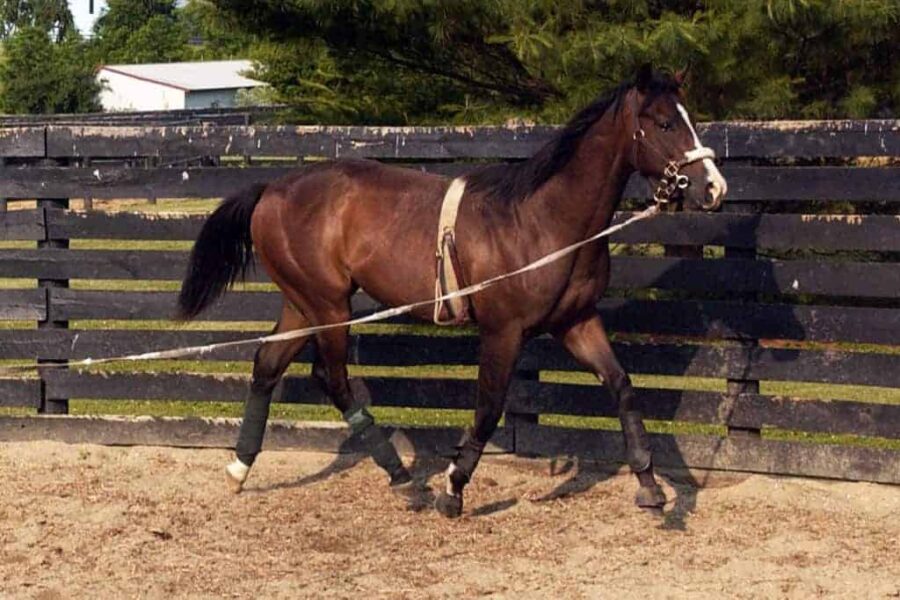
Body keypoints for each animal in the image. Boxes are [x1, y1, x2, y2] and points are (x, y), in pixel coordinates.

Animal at [176, 65, 727, 518]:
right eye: (664, 123)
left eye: (689, 118)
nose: (713, 188)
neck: (544, 220)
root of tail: (271, 190)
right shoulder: (504, 331)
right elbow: (488, 408)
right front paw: (453, 486)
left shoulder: (576, 322)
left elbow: (623, 387)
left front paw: (650, 488)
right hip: (328, 305)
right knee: (331, 379)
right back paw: (403, 480)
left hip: (302, 302)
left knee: (267, 365)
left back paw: (240, 469)